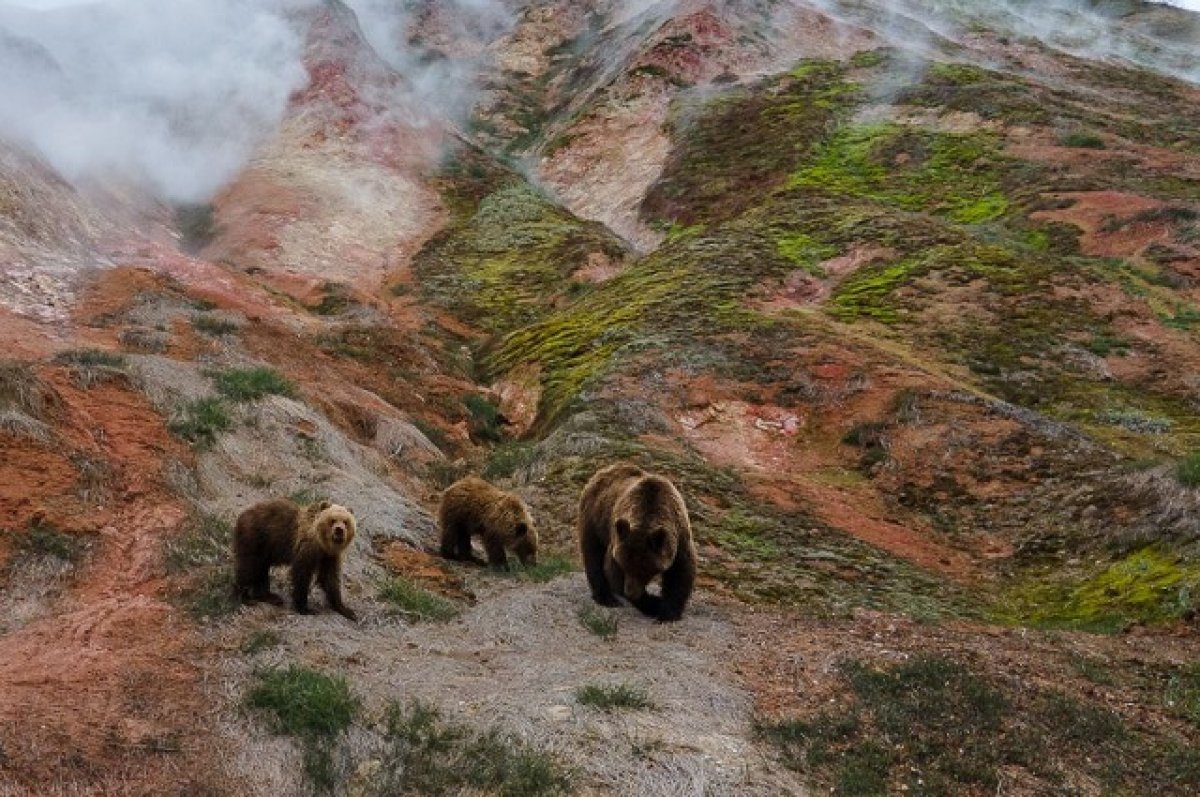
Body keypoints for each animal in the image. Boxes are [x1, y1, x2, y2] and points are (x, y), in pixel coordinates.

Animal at [578, 463, 700, 624]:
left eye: (644, 570)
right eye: (624, 566)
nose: (630, 592)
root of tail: (604, 470)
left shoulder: (679, 538)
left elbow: (681, 573)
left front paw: (668, 613)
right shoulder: (617, 540)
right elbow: (611, 571)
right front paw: (653, 603)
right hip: (594, 517)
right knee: (593, 555)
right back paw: (606, 598)